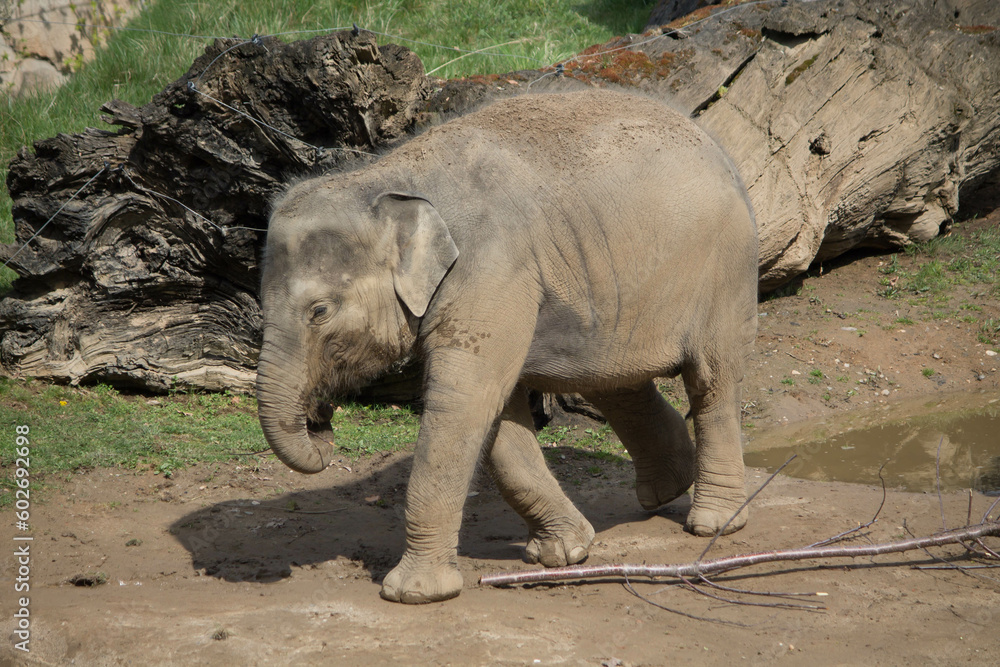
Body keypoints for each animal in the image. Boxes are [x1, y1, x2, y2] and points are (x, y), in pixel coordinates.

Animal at [256, 88, 758, 604]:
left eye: (319, 311)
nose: (321, 420)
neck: (388, 177)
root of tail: (713, 143)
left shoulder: (492, 270)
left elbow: (466, 400)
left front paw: (413, 593)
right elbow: (497, 411)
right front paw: (563, 553)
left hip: (726, 268)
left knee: (711, 379)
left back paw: (713, 522)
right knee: (612, 382)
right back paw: (665, 491)